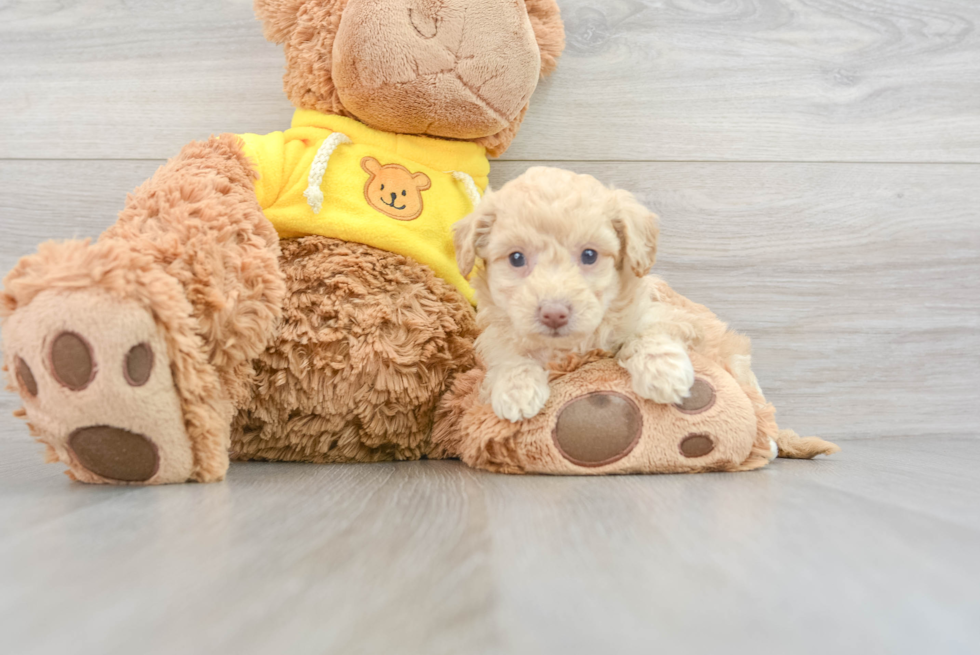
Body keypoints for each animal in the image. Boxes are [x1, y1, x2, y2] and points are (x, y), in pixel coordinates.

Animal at [456, 169, 700, 422]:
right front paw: (516, 390)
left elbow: (647, 330)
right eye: (516, 258)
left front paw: (663, 370)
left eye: (590, 255)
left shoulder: (650, 312)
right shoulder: (496, 337)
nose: (554, 314)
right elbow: (508, 354)